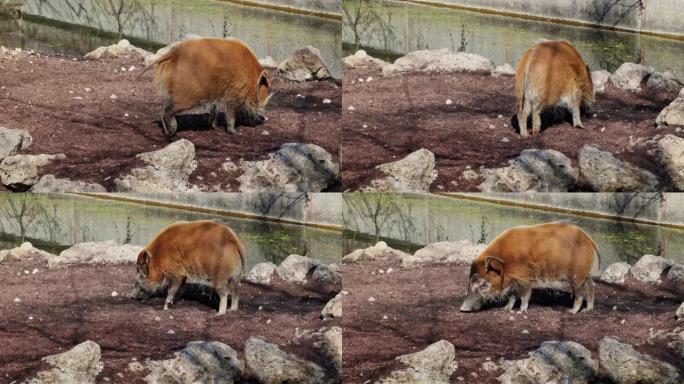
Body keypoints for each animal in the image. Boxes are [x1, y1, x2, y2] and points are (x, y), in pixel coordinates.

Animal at [460, 222, 600, 316]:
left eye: (483, 284)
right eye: (469, 280)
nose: (463, 309)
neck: (506, 262)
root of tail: (590, 240)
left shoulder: (525, 278)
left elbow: (525, 295)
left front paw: (520, 312)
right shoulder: (514, 280)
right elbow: (512, 295)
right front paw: (506, 309)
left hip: (577, 276)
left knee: (580, 293)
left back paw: (572, 311)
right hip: (585, 275)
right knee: (592, 287)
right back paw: (588, 309)